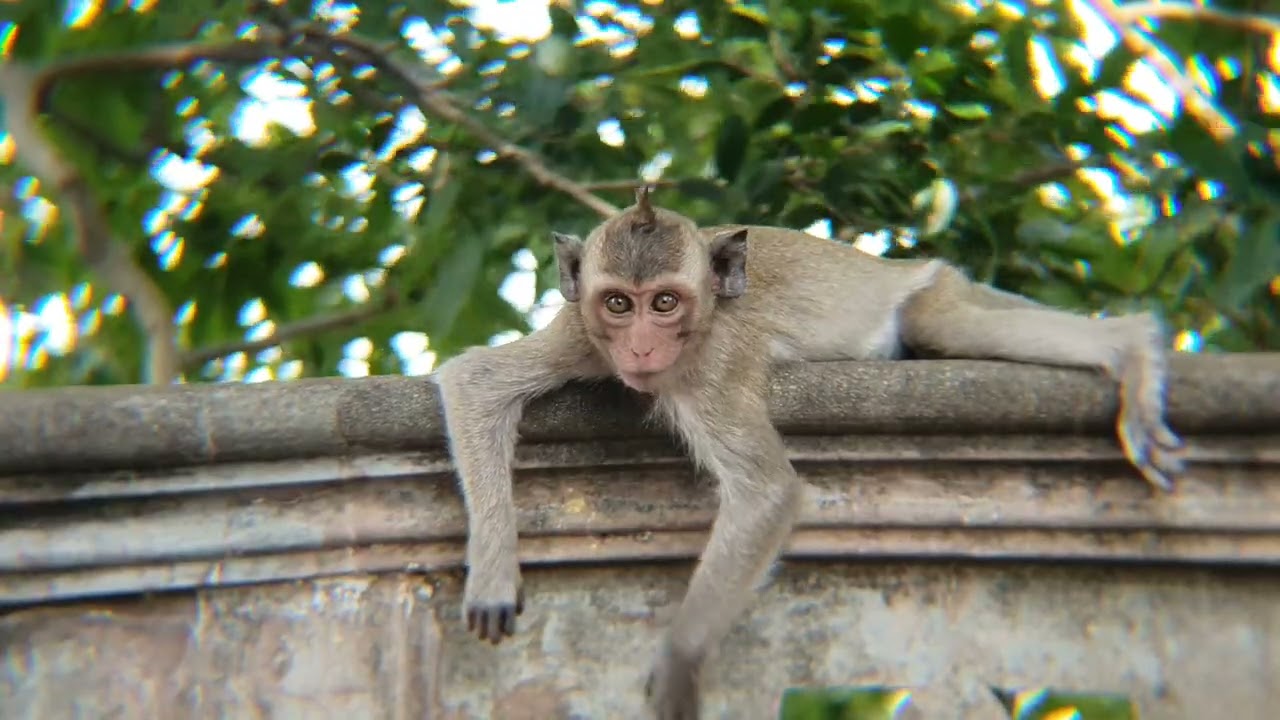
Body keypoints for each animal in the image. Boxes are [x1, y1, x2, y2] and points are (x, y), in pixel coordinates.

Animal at [432, 186, 1185, 719]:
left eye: (665, 303)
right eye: (620, 304)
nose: (642, 349)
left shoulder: (711, 366)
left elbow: (768, 492)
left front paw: (679, 661)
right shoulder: (580, 333)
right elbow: (474, 382)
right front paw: (493, 575)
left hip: (934, 291)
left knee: (939, 321)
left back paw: (1130, 346)